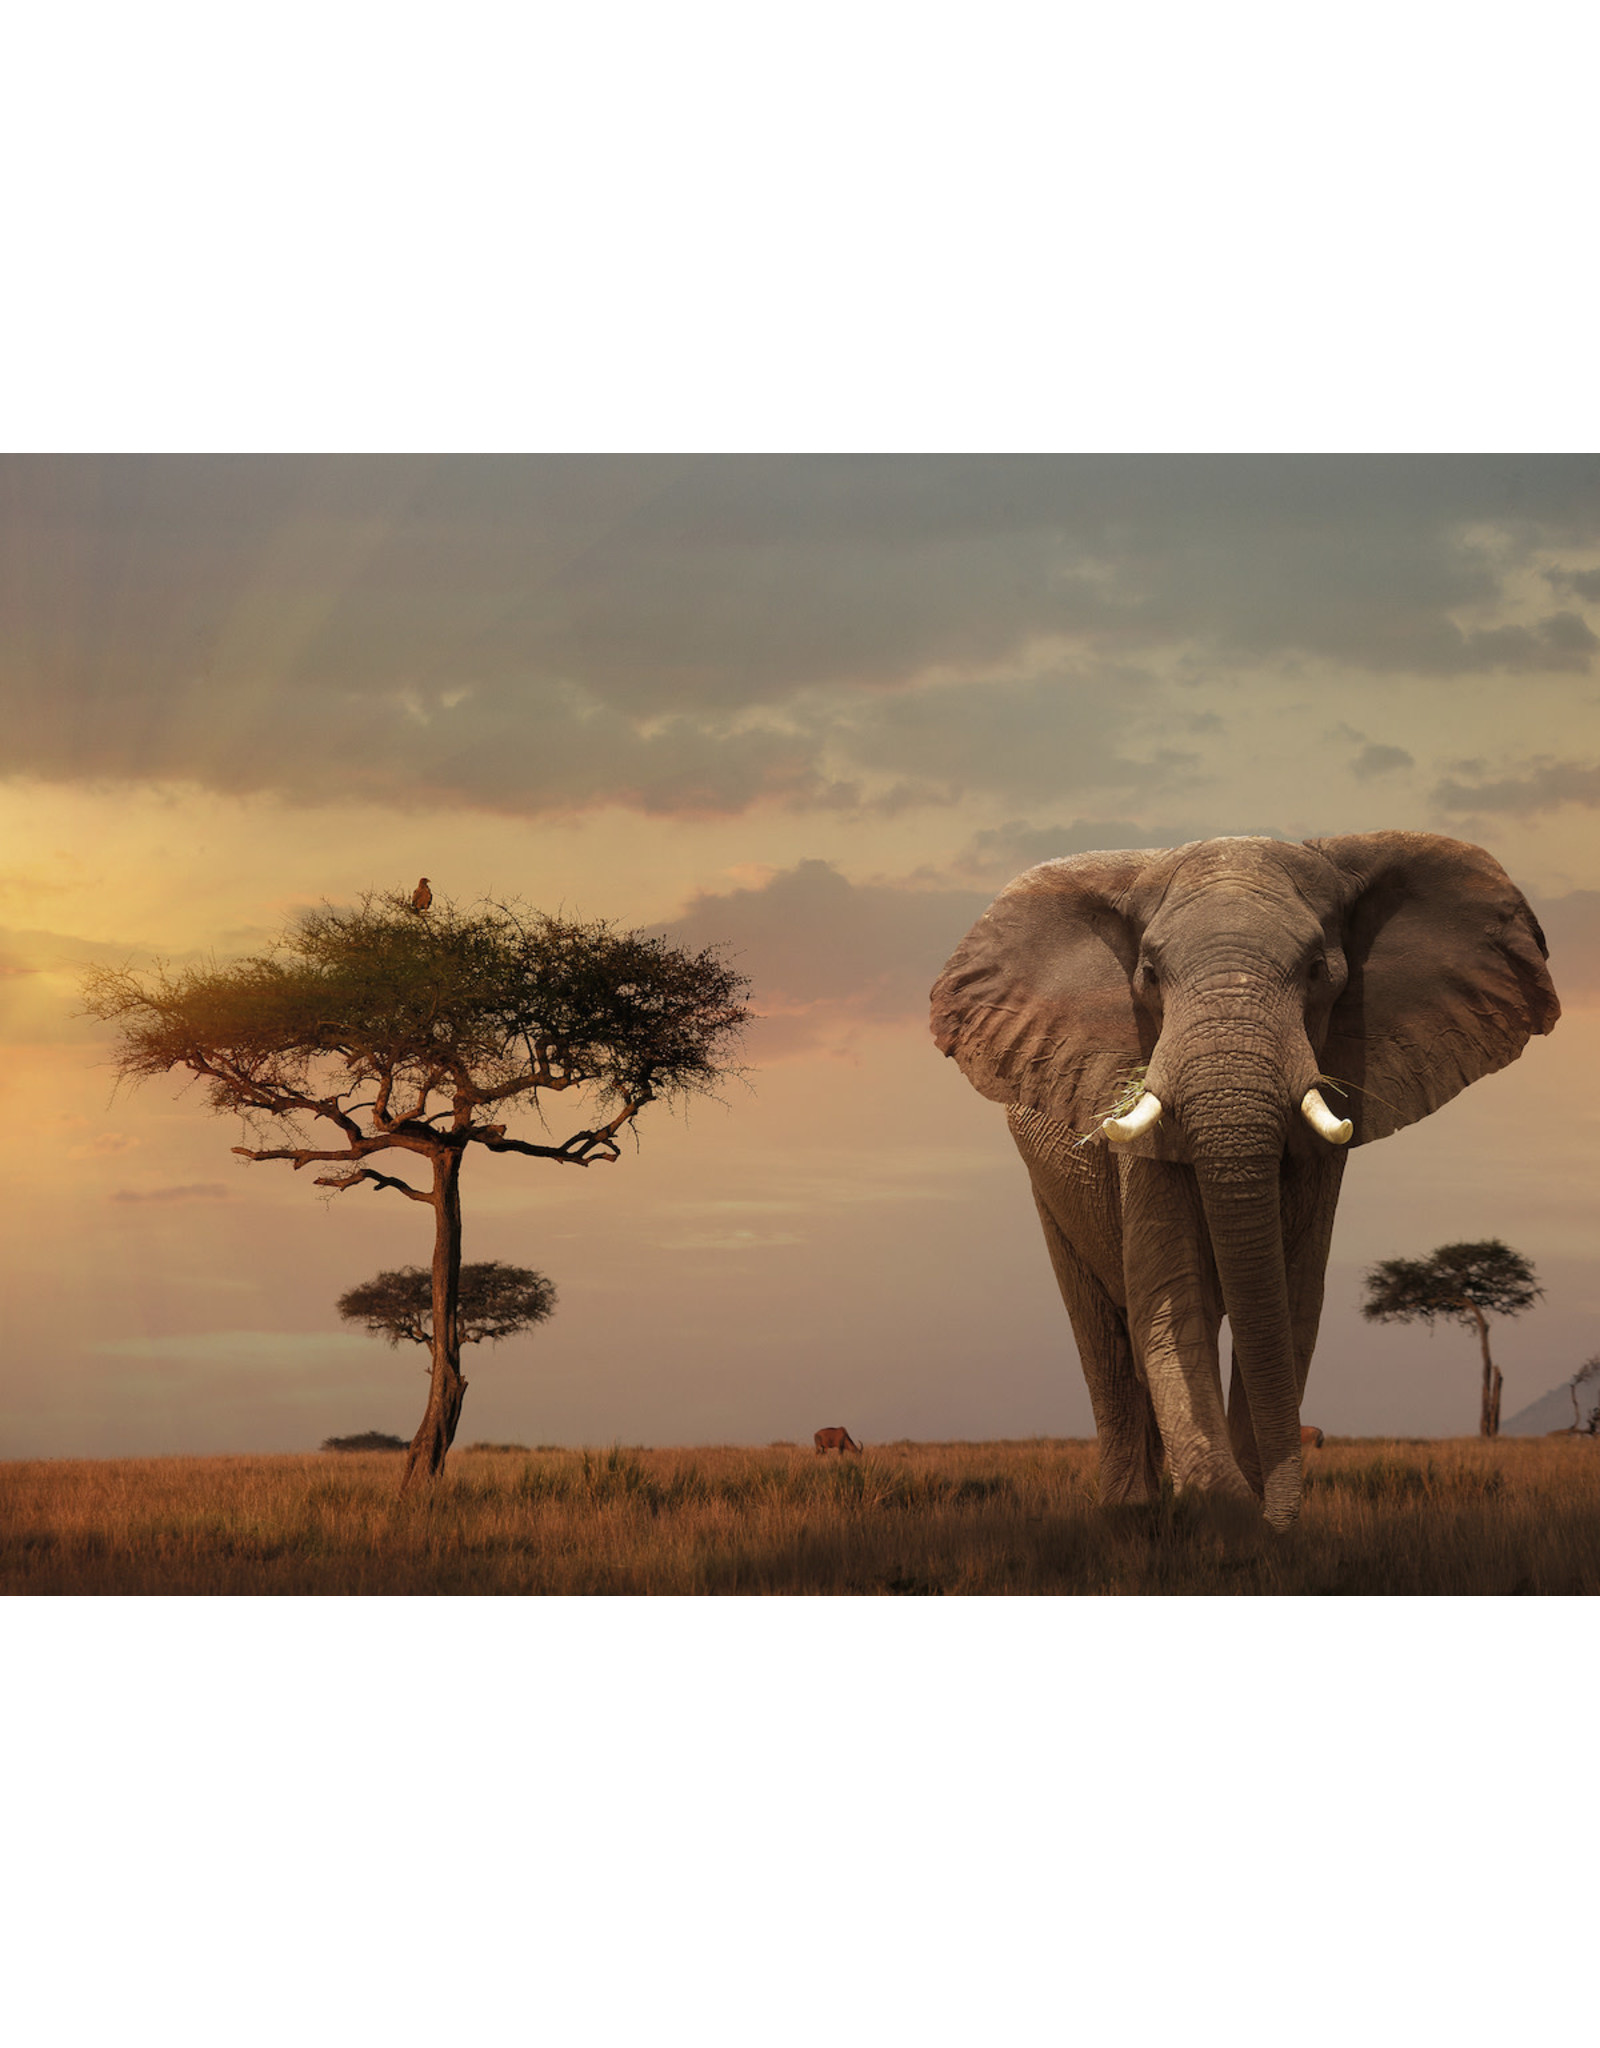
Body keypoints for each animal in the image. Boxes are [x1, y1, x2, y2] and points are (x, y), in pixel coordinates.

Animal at [930, 832, 1558, 1530]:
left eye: (1317, 971)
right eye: (1149, 974)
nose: (1273, 1517)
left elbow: (1291, 1299)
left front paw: (1251, 1520)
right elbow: (1174, 1295)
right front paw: (1220, 1510)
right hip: (1049, 1186)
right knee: (1104, 1334)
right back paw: (1133, 1513)